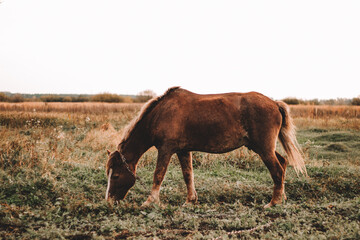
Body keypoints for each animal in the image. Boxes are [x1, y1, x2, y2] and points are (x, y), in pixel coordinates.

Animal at [105, 86, 308, 208]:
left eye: (115, 176)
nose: (109, 201)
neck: (161, 113)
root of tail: (274, 103)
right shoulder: (183, 151)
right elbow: (188, 175)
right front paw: (190, 201)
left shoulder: (165, 149)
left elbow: (158, 175)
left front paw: (150, 201)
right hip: (263, 148)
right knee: (283, 163)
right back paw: (282, 197)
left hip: (264, 149)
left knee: (277, 170)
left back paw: (273, 203)